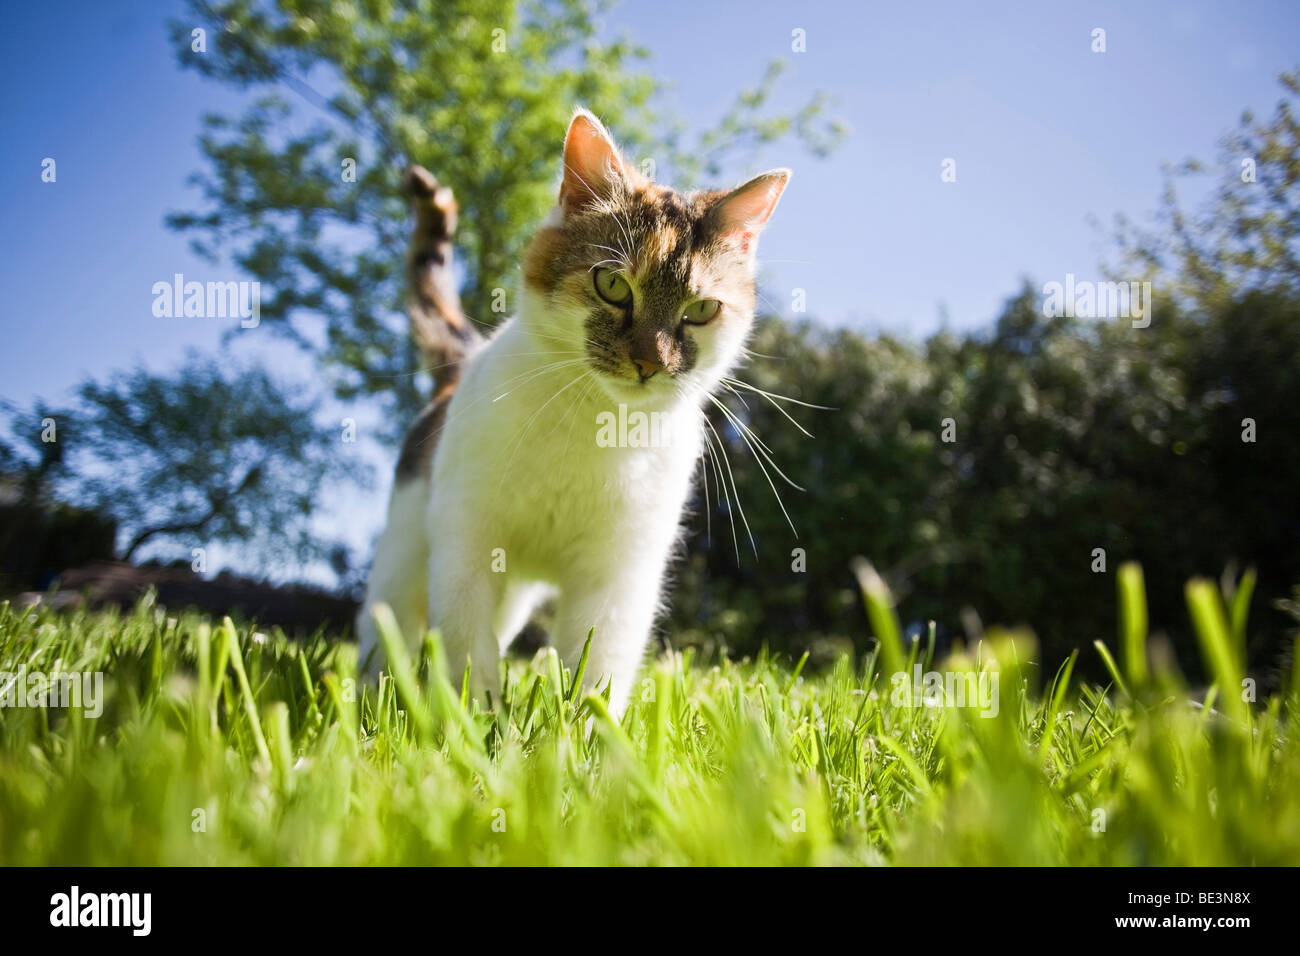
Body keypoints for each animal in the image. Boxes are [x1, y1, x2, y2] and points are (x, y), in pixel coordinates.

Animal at [361, 106, 790, 717]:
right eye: (612, 284)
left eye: (702, 310)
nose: (650, 362)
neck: (596, 426)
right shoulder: (466, 539)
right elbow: (466, 642)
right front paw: (477, 718)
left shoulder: (620, 571)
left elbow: (598, 665)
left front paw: (585, 733)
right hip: (406, 550)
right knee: (387, 626)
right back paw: (370, 696)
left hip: (514, 596)